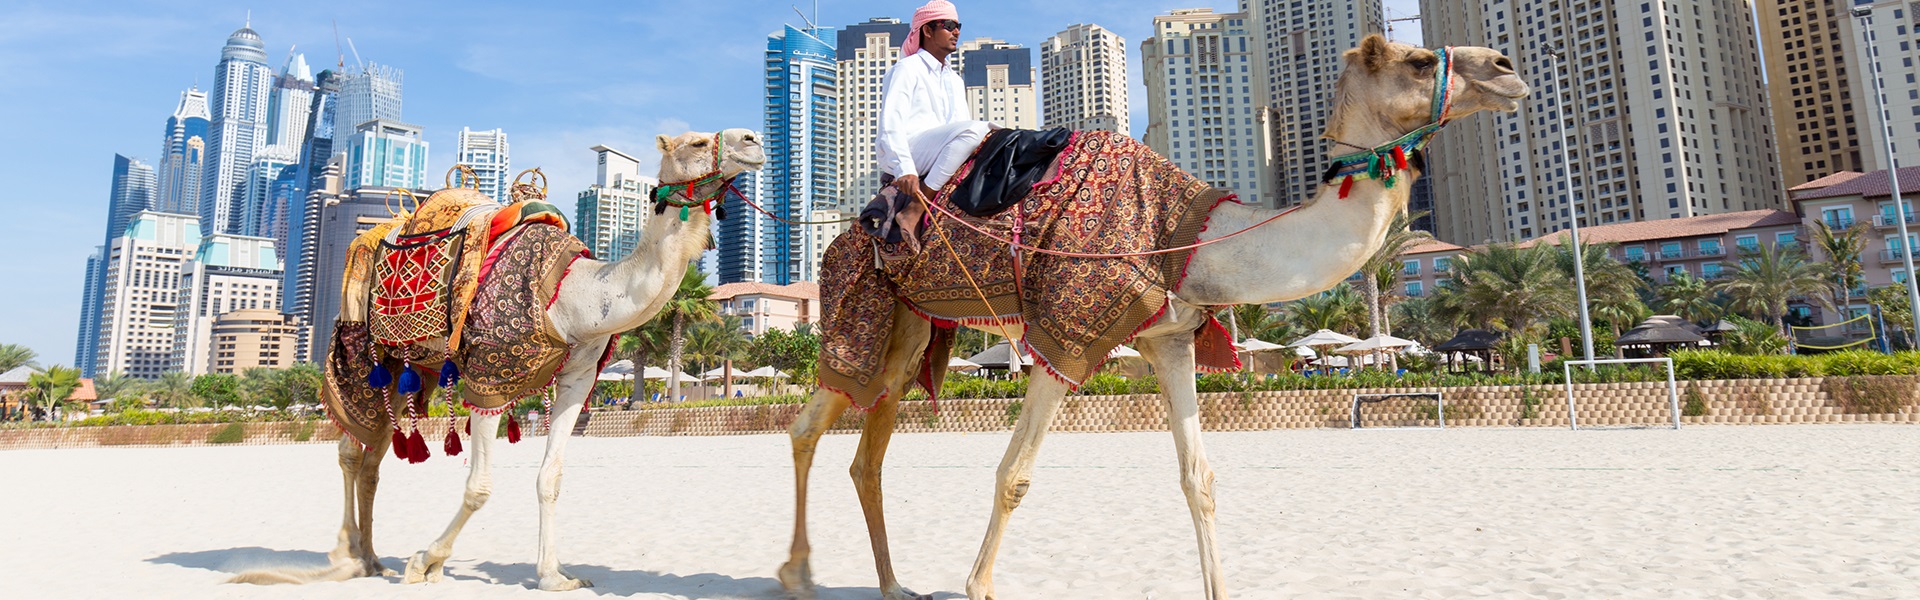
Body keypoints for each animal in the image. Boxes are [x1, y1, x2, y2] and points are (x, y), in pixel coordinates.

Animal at [241, 127, 771, 592]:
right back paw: (350, 558)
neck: (574, 297)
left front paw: (555, 577)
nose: (753, 140)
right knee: (352, 446)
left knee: (373, 454)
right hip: (359, 344)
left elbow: (550, 478)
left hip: (416, 369)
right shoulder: (488, 380)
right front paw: (424, 561)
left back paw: (373, 559)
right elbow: (479, 487)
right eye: (696, 141)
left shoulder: (578, 379)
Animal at [775, 37, 1528, 600]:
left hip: (912, 333)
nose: (1506, 67)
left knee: (868, 451)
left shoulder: (1169, 340)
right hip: (861, 307)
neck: (1189, 239)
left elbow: (1200, 479)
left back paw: (891, 584)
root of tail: (846, 231)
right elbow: (1014, 474)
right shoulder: (1067, 338)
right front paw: (979, 586)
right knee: (810, 422)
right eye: (1421, 60)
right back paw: (796, 574)